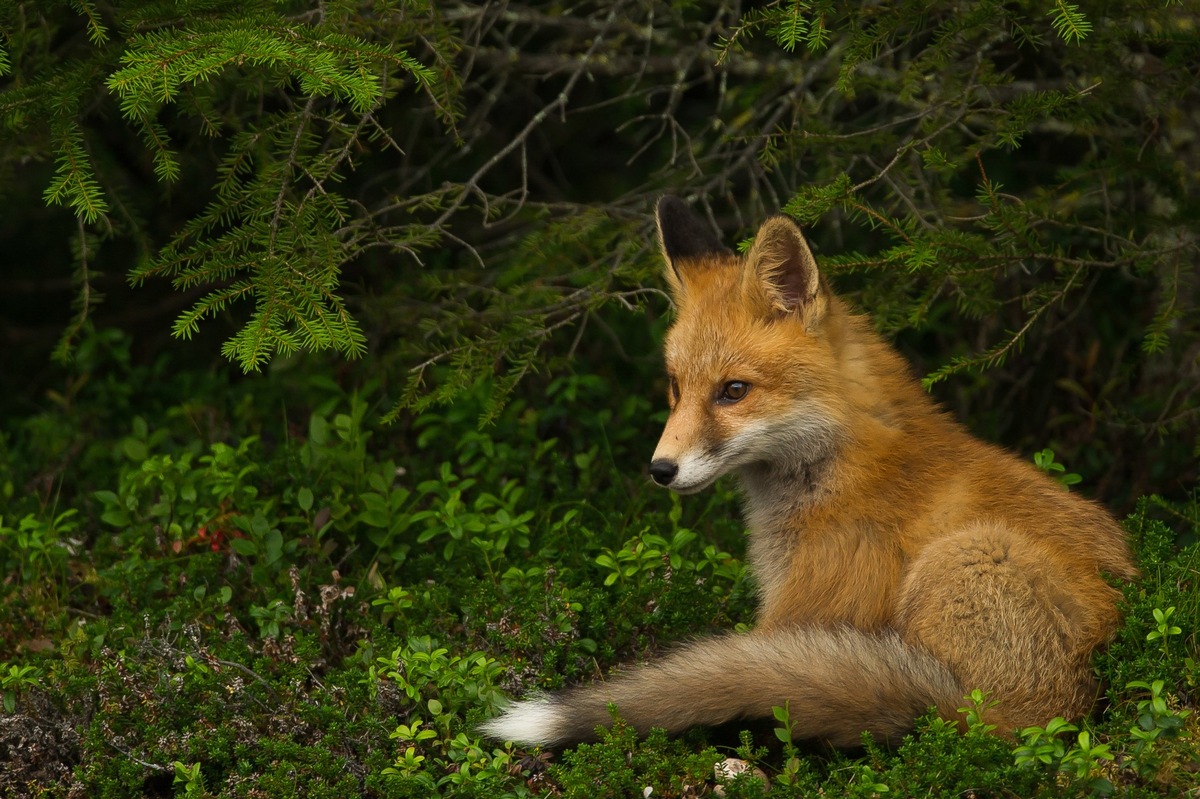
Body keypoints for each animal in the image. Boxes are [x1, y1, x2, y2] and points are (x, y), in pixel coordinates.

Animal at [477, 195, 1132, 743]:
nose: (660, 470)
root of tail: (1065, 710)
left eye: (733, 391)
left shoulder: (806, 609)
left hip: (964, 557)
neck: (840, 468)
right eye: (675, 387)